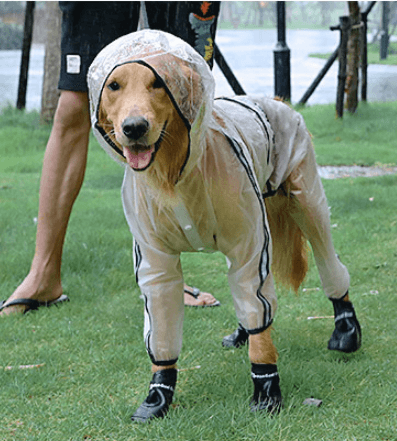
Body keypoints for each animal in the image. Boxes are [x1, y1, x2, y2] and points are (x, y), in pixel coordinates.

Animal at [88, 29, 360, 422]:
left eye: (158, 85)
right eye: (114, 86)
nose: (134, 128)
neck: (174, 174)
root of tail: (278, 100)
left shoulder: (249, 243)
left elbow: (259, 313)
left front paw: (266, 386)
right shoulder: (156, 262)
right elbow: (162, 328)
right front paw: (159, 392)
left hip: (308, 204)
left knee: (328, 264)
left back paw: (346, 328)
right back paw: (243, 332)